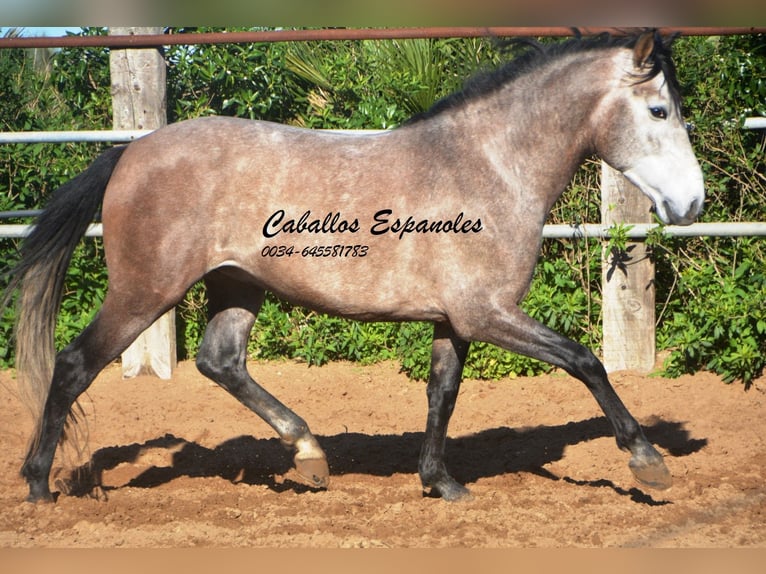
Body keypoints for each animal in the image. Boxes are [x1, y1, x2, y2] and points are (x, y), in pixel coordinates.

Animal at [1, 31, 708, 504]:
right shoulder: (488, 312)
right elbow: (584, 361)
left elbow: (442, 394)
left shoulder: (455, 318)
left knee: (220, 361)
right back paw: (39, 487)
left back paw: (310, 455)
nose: (691, 204)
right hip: (146, 290)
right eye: (659, 111)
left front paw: (441, 483)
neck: (488, 166)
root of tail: (132, 151)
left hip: (237, 285)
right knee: (74, 365)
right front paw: (648, 461)